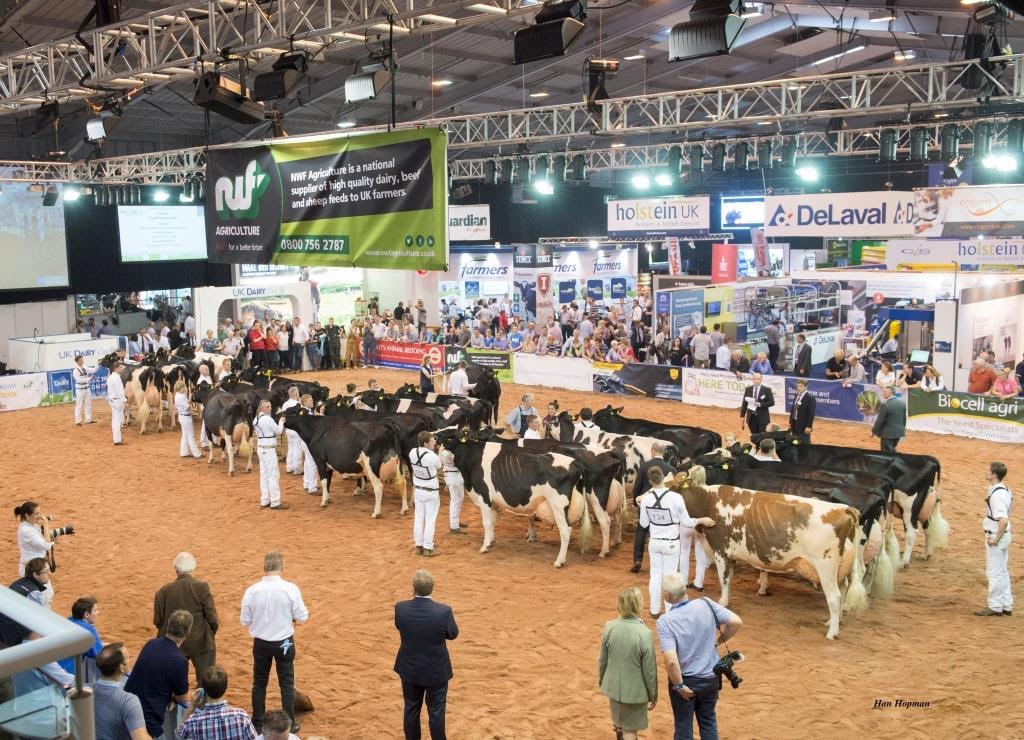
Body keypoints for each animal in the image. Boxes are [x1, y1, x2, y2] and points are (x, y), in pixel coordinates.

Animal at [438, 431, 585, 569]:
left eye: (449, 437)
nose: (436, 438)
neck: (473, 459)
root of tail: (573, 463)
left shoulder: (484, 497)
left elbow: (486, 523)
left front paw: (484, 546)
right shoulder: (493, 503)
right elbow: (492, 522)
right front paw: (491, 542)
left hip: (558, 505)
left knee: (565, 531)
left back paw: (559, 561)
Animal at [675, 470, 868, 638]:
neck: (708, 501)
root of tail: (845, 509)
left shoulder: (721, 551)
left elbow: (723, 580)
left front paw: (722, 602)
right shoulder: (731, 556)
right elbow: (729, 580)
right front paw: (727, 601)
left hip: (825, 565)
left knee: (834, 597)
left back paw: (832, 632)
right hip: (840, 569)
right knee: (843, 589)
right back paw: (834, 621)